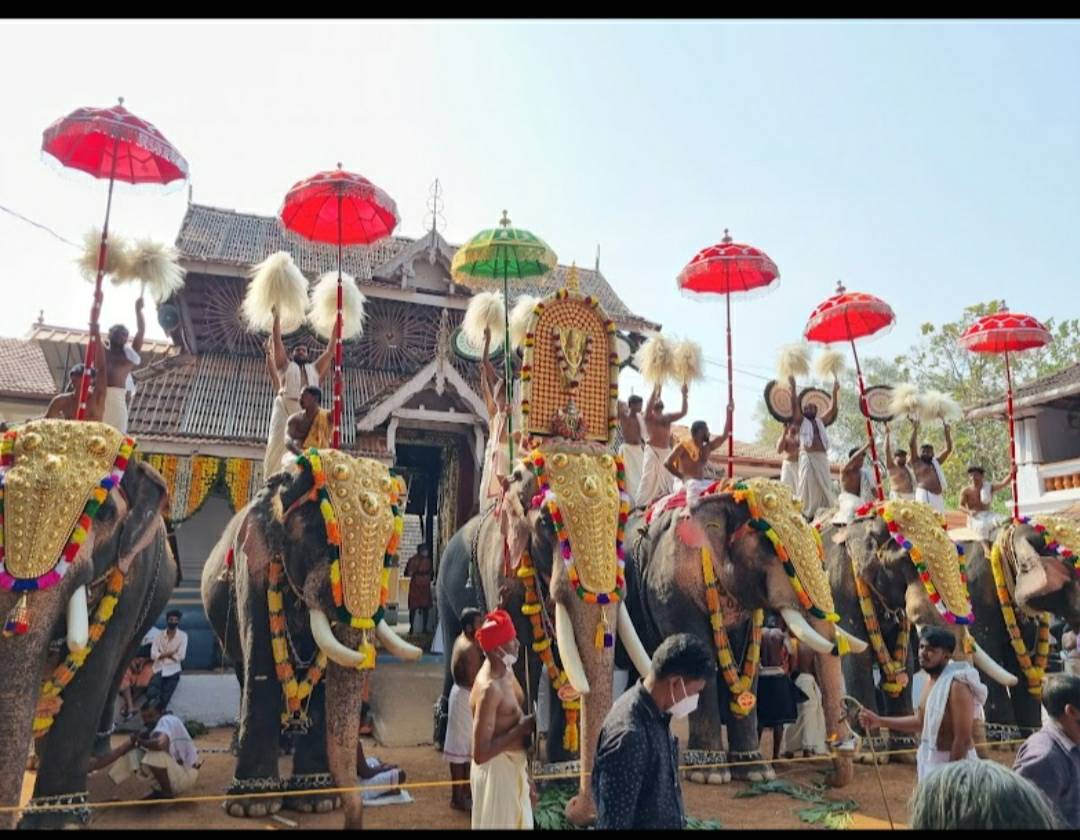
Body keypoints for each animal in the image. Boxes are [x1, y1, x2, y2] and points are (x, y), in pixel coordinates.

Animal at [0, 423, 176, 829]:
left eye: (107, 512)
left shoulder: (134, 575)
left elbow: (97, 665)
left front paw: (58, 821)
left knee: (119, 665)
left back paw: (96, 750)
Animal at [203, 449, 421, 829]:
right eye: (321, 536)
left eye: (387, 550)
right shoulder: (254, 566)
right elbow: (261, 663)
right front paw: (252, 806)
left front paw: (317, 800)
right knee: (243, 672)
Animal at [429, 444, 648, 824]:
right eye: (546, 522)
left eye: (621, 525)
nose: (579, 811)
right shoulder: (505, 573)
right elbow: (521, 663)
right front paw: (533, 785)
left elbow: (565, 661)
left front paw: (560, 775)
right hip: (444, 581)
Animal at [626, 477, 868, 786]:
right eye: (770, 546)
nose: (827, 778)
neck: (723, 495)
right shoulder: (669, 587)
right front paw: (711, 775)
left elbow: (747, 665)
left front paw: (756, 771)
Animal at [825, 496, 1019, 760]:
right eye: (919, 614)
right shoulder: (841, 587)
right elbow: (859, 654)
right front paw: (869, 755)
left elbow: (904, 662)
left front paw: (905, 753)